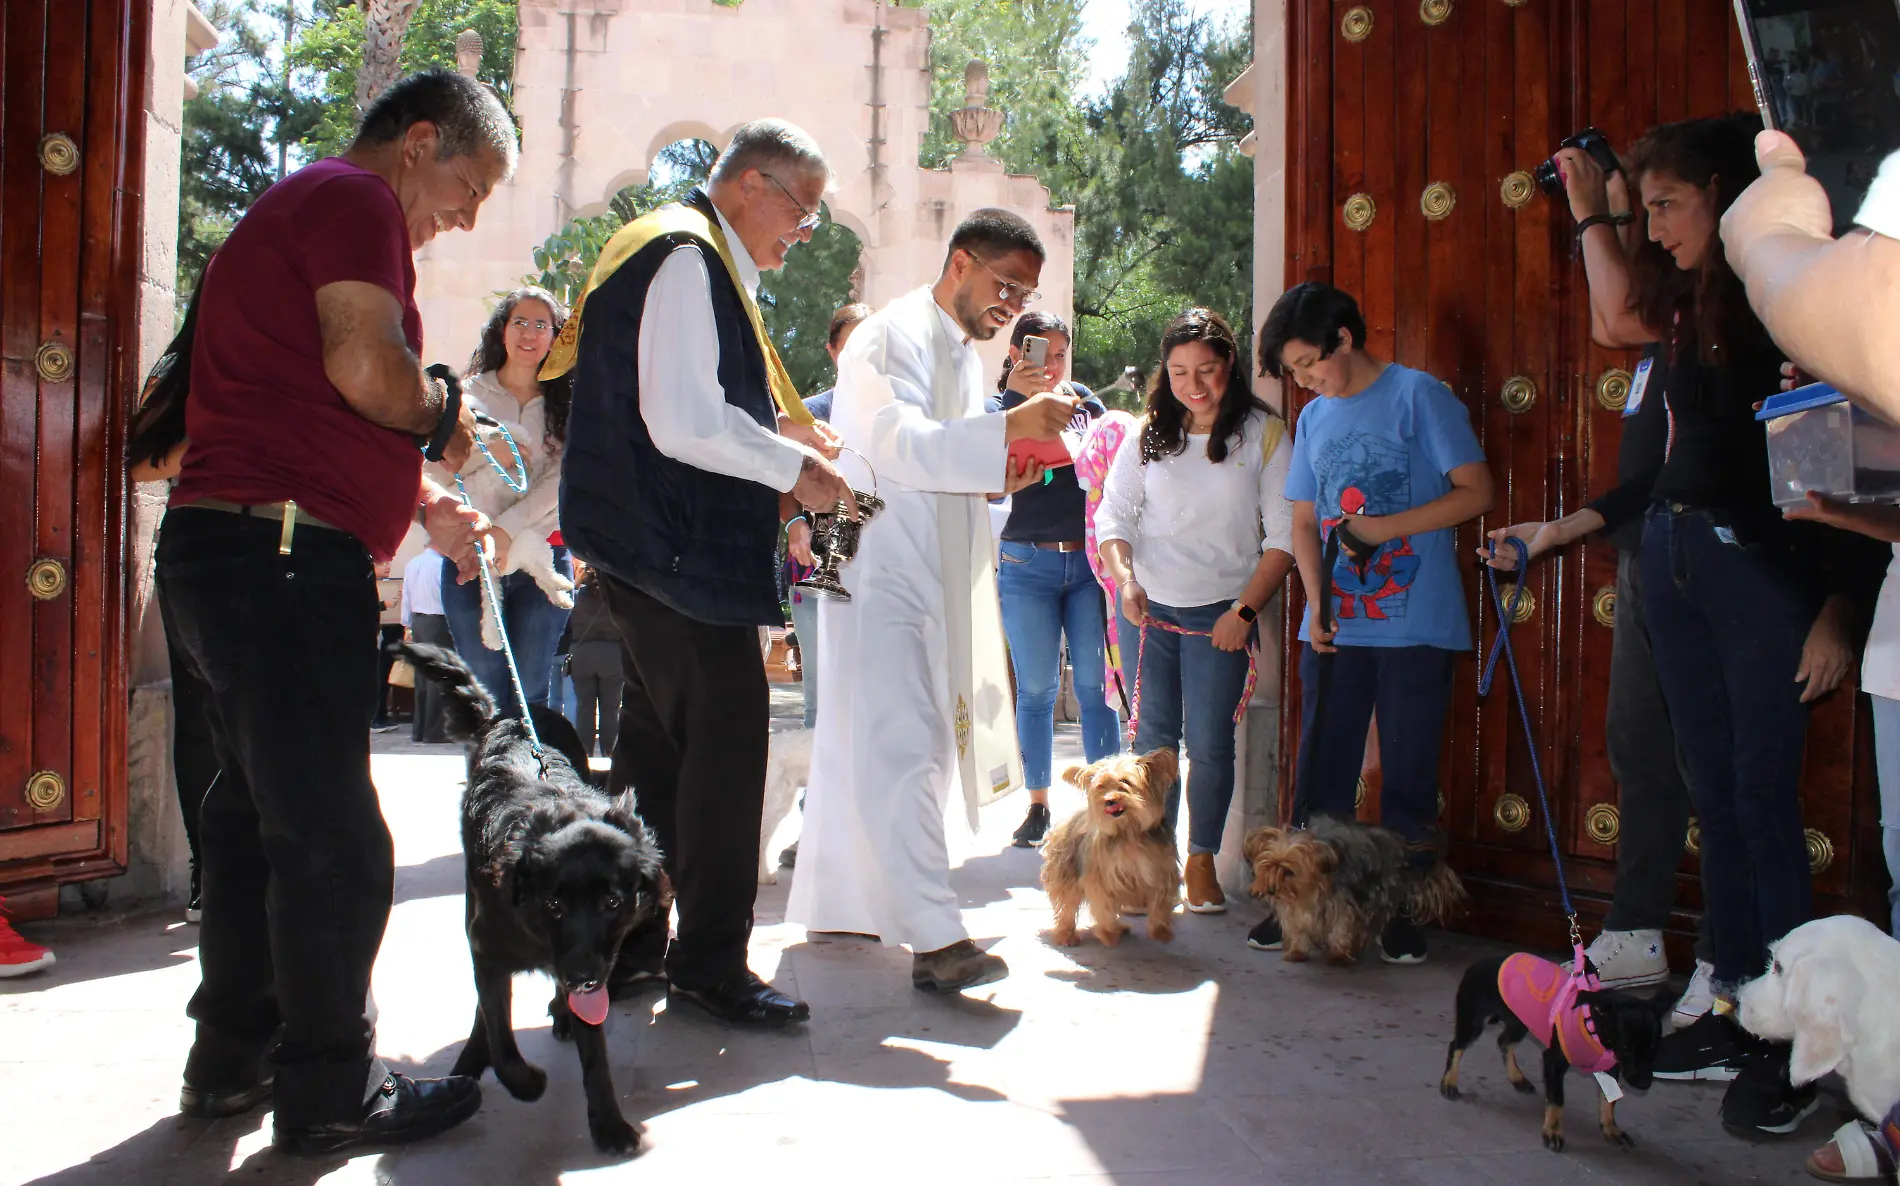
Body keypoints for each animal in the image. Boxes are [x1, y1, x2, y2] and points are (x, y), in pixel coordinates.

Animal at [397, 642, 665, 1155]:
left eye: (613, 904)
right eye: (553, 905)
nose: (582, 978)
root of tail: (511, 717)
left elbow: (595, 1052)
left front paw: (608, 1124)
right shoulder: (486, 949)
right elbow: (500, 1035)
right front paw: (525, 1081)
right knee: (486, 1016)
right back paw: (470, 1062)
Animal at [1048, 748, 1178, 946]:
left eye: (1125, 782)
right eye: (1101, 786)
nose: (1109, 801)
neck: (1129, 832)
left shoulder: (1161, 871)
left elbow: (1160, 902)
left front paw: (1160, 931)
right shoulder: (1100, 879)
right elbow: (1103, 906)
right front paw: (1108, 933)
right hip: (1066, 873)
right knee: (1066, 905)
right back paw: (1066, 934)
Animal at [1238, 821, 1459, 969]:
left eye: (1288, 871)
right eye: (1268, 866)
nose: (1271, 890)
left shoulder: (1344, 903)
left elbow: (1342, 927)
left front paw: (1339, 955)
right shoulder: (1293, 905)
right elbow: (1297, 926)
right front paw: (1297, 951)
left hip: (1379, 892)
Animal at [1436, 954, 1664, 1147]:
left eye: (1655, 1048)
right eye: (1626, 1046)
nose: (1644, 1084)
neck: (1592, 1024)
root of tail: (1477, 964)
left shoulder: (1612, 1068)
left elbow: (1609, 1102)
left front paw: (1610, 1128)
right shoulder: (1553, 1061)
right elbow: (1557, 1099)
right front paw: (1553, 1131)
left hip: (1520, 1021)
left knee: (1504, 1042)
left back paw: (1517, 1078)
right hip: (1473, 1022)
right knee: (1456, 1047)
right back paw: (1449, 1082)